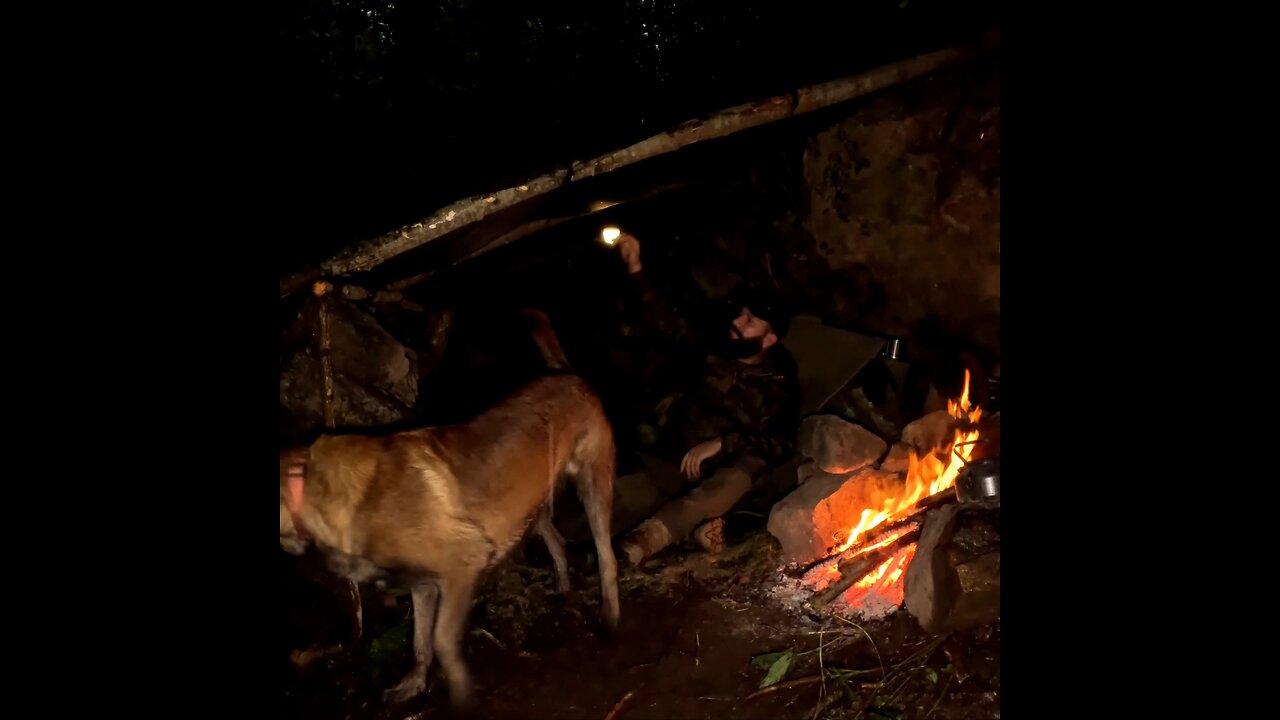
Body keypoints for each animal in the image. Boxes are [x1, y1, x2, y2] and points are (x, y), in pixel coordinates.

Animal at [281, 304, 619, 702]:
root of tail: (568, 375)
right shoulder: (423, 583)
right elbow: (420, 642)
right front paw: (414, 683)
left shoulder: (462, 563)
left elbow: (441, 639)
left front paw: (459, 690)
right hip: (530, 506)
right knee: (557, 540)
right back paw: (564, 588)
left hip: (592, 487)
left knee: (607, 557)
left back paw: (610, 619)